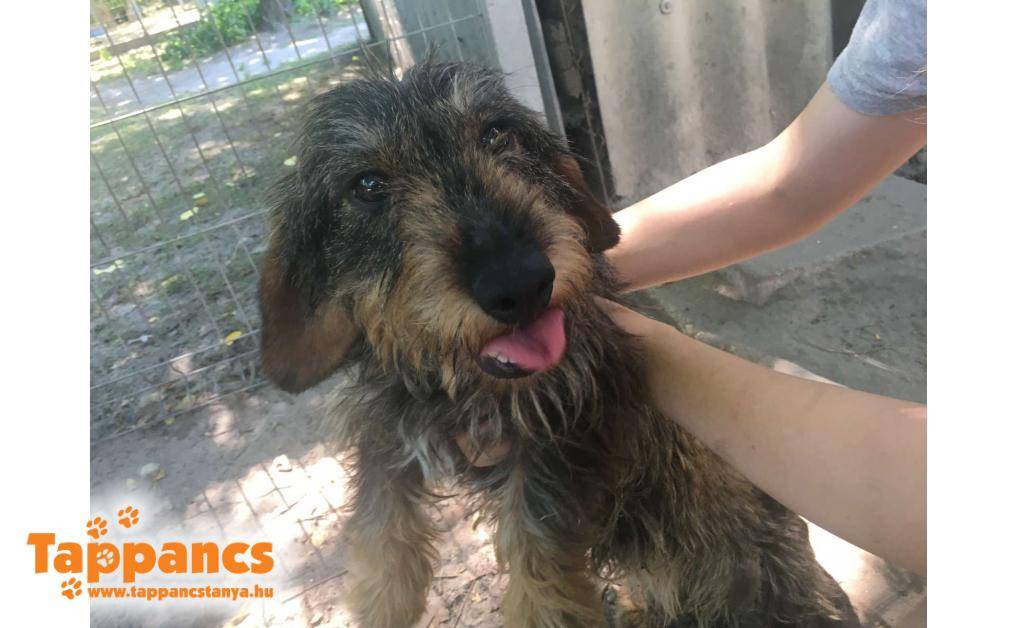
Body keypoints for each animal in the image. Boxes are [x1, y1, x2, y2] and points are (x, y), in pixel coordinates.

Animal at [257, 61, 859, 627]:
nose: (521, 284)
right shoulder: (386, 426)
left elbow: (539, 561)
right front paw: (382, 602)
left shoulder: (569, 432)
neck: (462, 387)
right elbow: (379, 526)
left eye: (497, 134)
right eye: (366, 185)